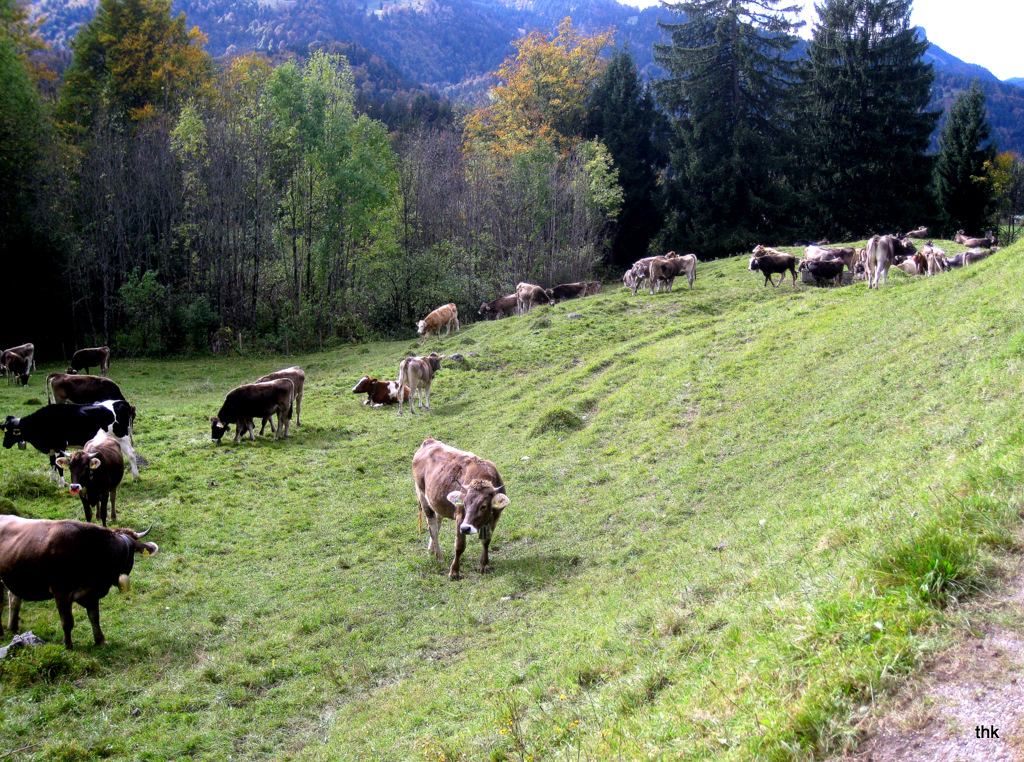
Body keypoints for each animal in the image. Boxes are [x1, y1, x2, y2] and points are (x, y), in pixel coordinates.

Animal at [0, 512, 157, 647]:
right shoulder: (60, 592)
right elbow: (67, 622)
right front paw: (68, 645)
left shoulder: (91, 592)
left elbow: (94, 617)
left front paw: (101, 640)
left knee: (14, 599)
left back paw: (12, 628)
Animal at [411, 438, 512, 581]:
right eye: (464, 504)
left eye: (483, 506)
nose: (466, 528)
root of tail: (429, 441)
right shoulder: (460, 517)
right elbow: (459, 546)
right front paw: (454, 572)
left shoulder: (495, 517)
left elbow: (486, 540)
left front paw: (484, 565)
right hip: (422, 495)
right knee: (433, 528)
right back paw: (439, 557)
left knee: (437, 522)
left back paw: (431, 549)